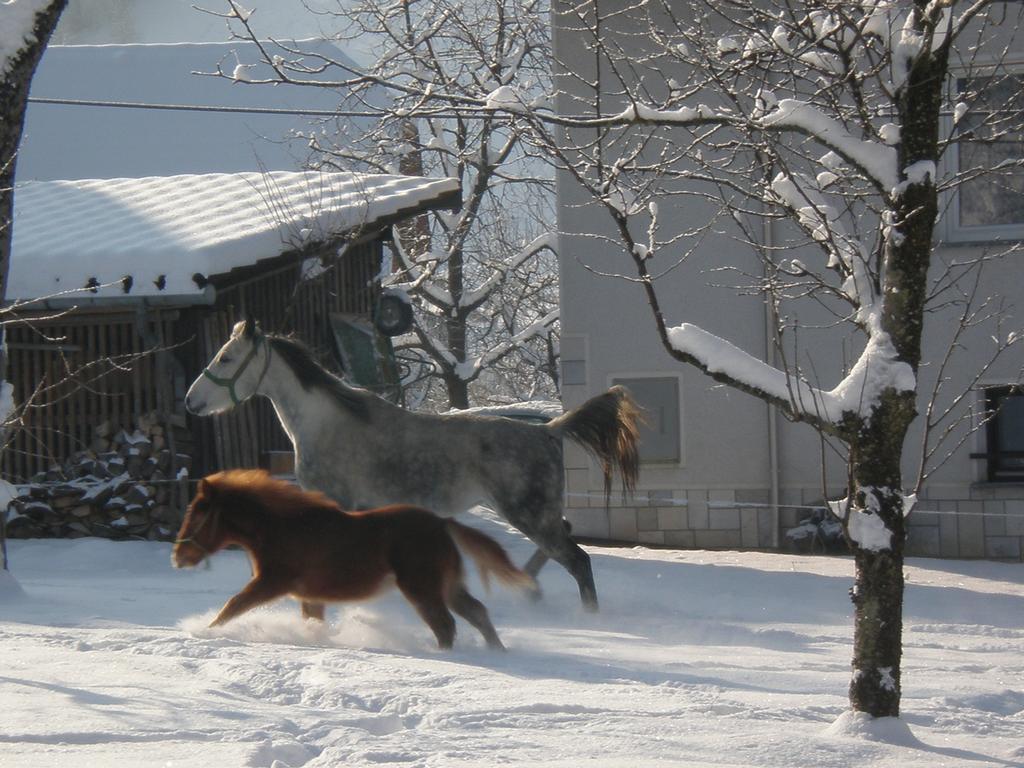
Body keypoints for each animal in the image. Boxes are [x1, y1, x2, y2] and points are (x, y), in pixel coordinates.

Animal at [171, 468, 532, 651]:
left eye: (198, 512)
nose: (178, 557)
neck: (281, 527)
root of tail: (442, 523)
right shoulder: (309, 596)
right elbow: (313, 624)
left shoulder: (272, 582)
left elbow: (232, 606)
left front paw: (203, 632)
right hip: (448, 587)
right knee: (477, 613)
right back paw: (498, 652)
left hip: (422, 589)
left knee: (445, 625)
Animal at [180, 321, 634, 610]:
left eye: (226, 358)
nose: (191, 401)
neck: (326, 424)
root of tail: (550, 431)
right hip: (531, 513)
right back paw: (528, 590)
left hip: (529, 513)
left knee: (578, 561)